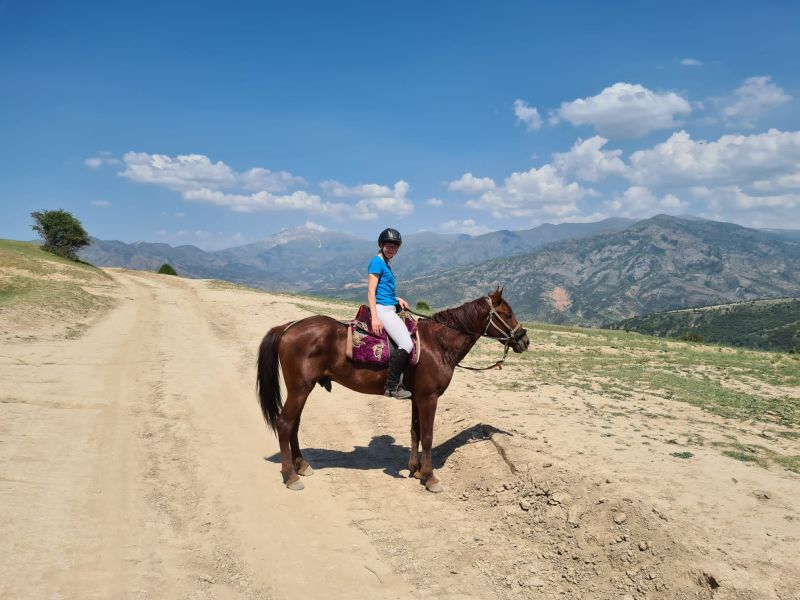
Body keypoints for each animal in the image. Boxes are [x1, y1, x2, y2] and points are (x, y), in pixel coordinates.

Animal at [258, 288, 532, 492]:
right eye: (507, 314)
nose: (524, 340)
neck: (438, 343)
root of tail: (288, 327)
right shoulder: (429, 398)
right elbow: (428, 436)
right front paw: (430, 477)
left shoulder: (417, 398)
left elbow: (415, 432)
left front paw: (415, 469)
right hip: (299, 389)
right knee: (285, 424)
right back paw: (291, 476)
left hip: (302, 390)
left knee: (294, 425)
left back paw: (302, 465)